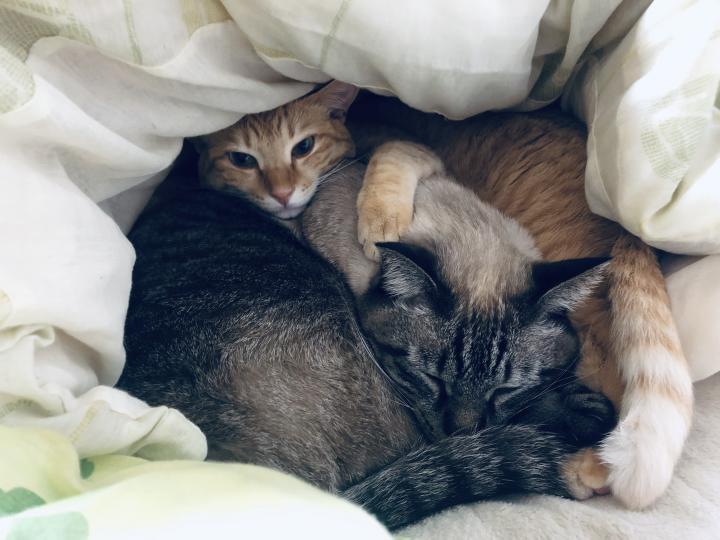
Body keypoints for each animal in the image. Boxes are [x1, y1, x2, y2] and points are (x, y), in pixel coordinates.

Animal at [348, 95, 693, 510]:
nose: (463, 435)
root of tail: (625, 226)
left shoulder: (406, 146)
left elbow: (391, 157)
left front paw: (379, 222)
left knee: (612, 374)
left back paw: (586, 467)